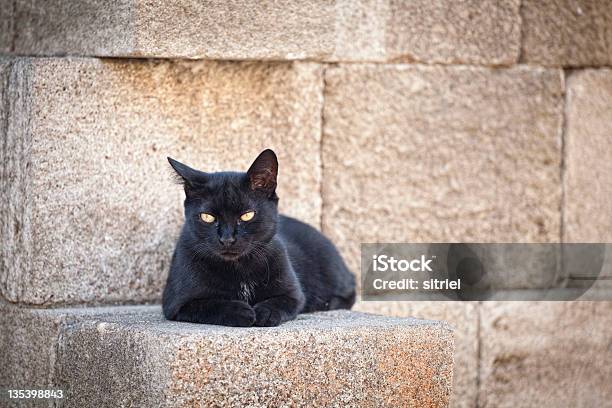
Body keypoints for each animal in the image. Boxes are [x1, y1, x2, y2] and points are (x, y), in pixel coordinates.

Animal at [163, 150, 356, 328]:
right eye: (207, 217)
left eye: (247, 215)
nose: (227, 239)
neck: (238, 268)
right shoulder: (176, 303)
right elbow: (209, 305)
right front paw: (240, 311)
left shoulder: (294, 293)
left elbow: (280, 301)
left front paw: (264, 312)